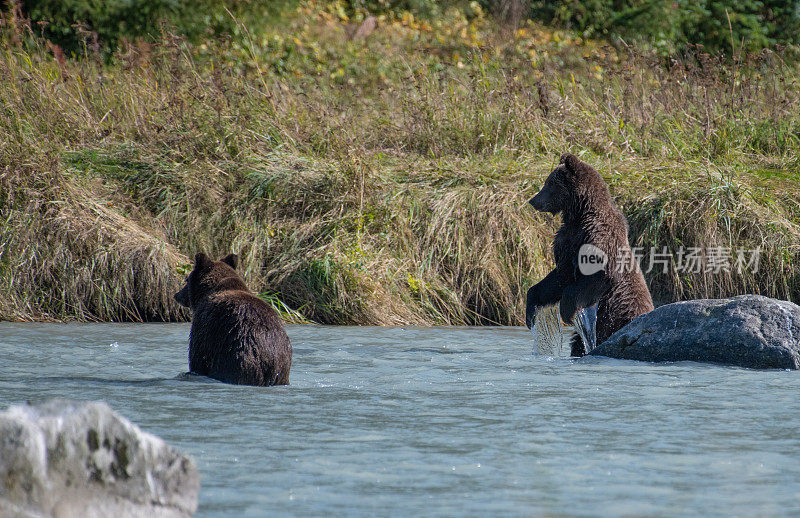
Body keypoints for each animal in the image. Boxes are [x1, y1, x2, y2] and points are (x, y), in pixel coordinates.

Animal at [173, 254, 292, 388]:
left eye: (187, 280)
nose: (177, 295)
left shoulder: (205, 324)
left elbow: (198, 356)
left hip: (240, 359)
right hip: (282, 370)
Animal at [524, 154, 656, 356]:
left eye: (549, 184)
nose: (533, 200)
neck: (580, 213)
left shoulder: (596, 237)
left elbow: (598, 274)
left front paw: (567, 310)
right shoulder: (568, 243)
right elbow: (557, 279)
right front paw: (531, 309)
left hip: (618, 319)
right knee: (578, 343)